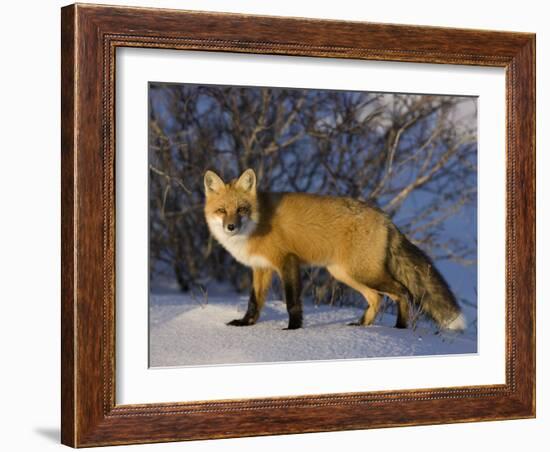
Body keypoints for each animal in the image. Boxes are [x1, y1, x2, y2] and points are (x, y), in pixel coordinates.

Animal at [205, 168, 468, 330]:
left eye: (241, 209)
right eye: (222, 210)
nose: (230, 227)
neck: (258, 224)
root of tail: (386, 218)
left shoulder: (287, 261)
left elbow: (292, 302)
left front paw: (292, 329)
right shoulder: (261, 268)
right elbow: (254, 302)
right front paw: (246, 324)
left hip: (362, 273)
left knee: (402, 292)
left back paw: (400, 329)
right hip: (345, 273)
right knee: (377, 298)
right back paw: (362, 327)